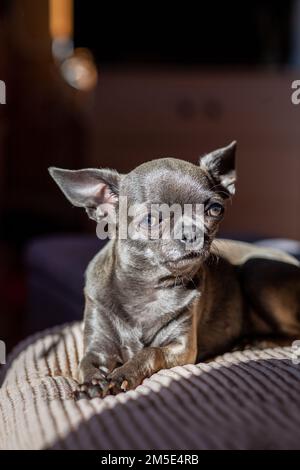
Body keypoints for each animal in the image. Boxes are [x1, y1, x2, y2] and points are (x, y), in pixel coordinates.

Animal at [49, 141, 300, 398]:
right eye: (150, 219)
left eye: (215, 209)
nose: (191, 232)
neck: (150, 286)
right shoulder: (97, 348)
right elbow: (86, 364)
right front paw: (91, 383)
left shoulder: (182, 349)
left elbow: (150, 352)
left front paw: (122, 374)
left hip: (256, 270)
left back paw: (255, 341)